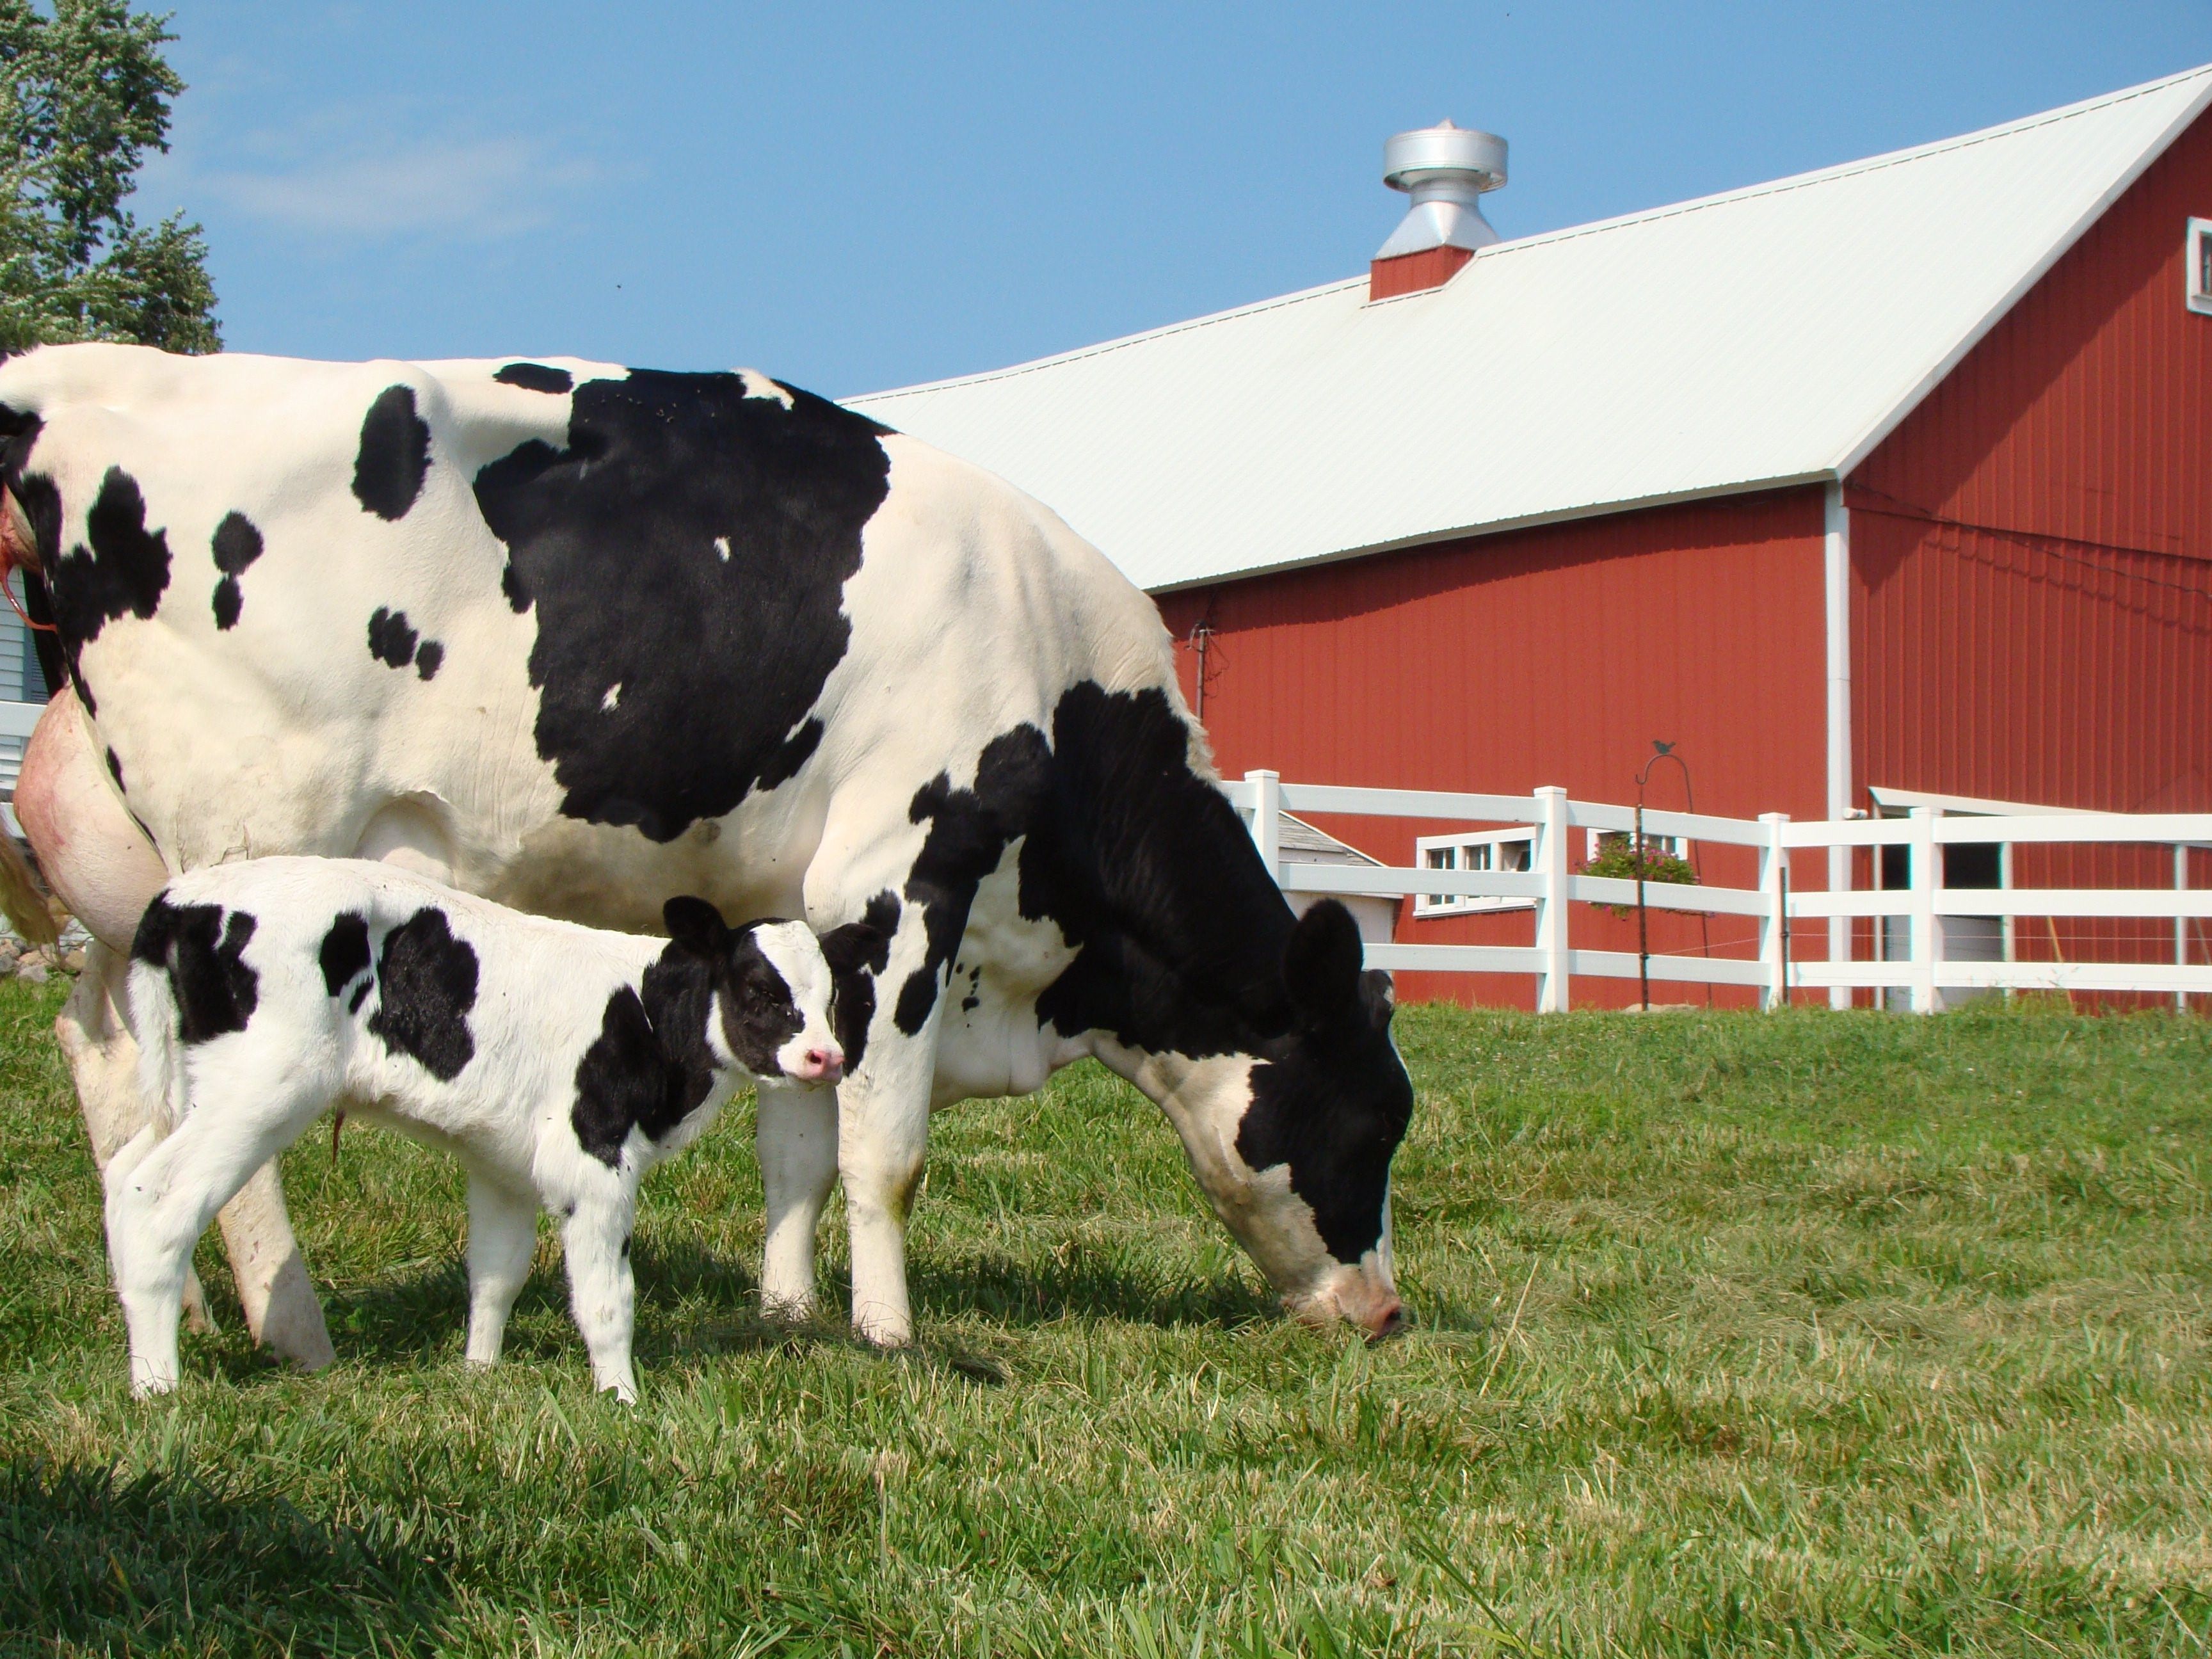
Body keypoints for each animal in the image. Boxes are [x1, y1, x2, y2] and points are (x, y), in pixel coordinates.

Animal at [108, 858, 840, 1407]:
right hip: (260, 1090)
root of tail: (178, 899)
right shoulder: (593, 1160)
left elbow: (496, 1272)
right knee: (158, 1200)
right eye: (757, 989)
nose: (826, 1057)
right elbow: (607, 1298)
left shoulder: (502, 1161)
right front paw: (621, 1398)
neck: (647, 1013)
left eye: (831, 998)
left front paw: (478, 1374)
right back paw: (158, 1388)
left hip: (187, 1089)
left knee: (121, 1172)